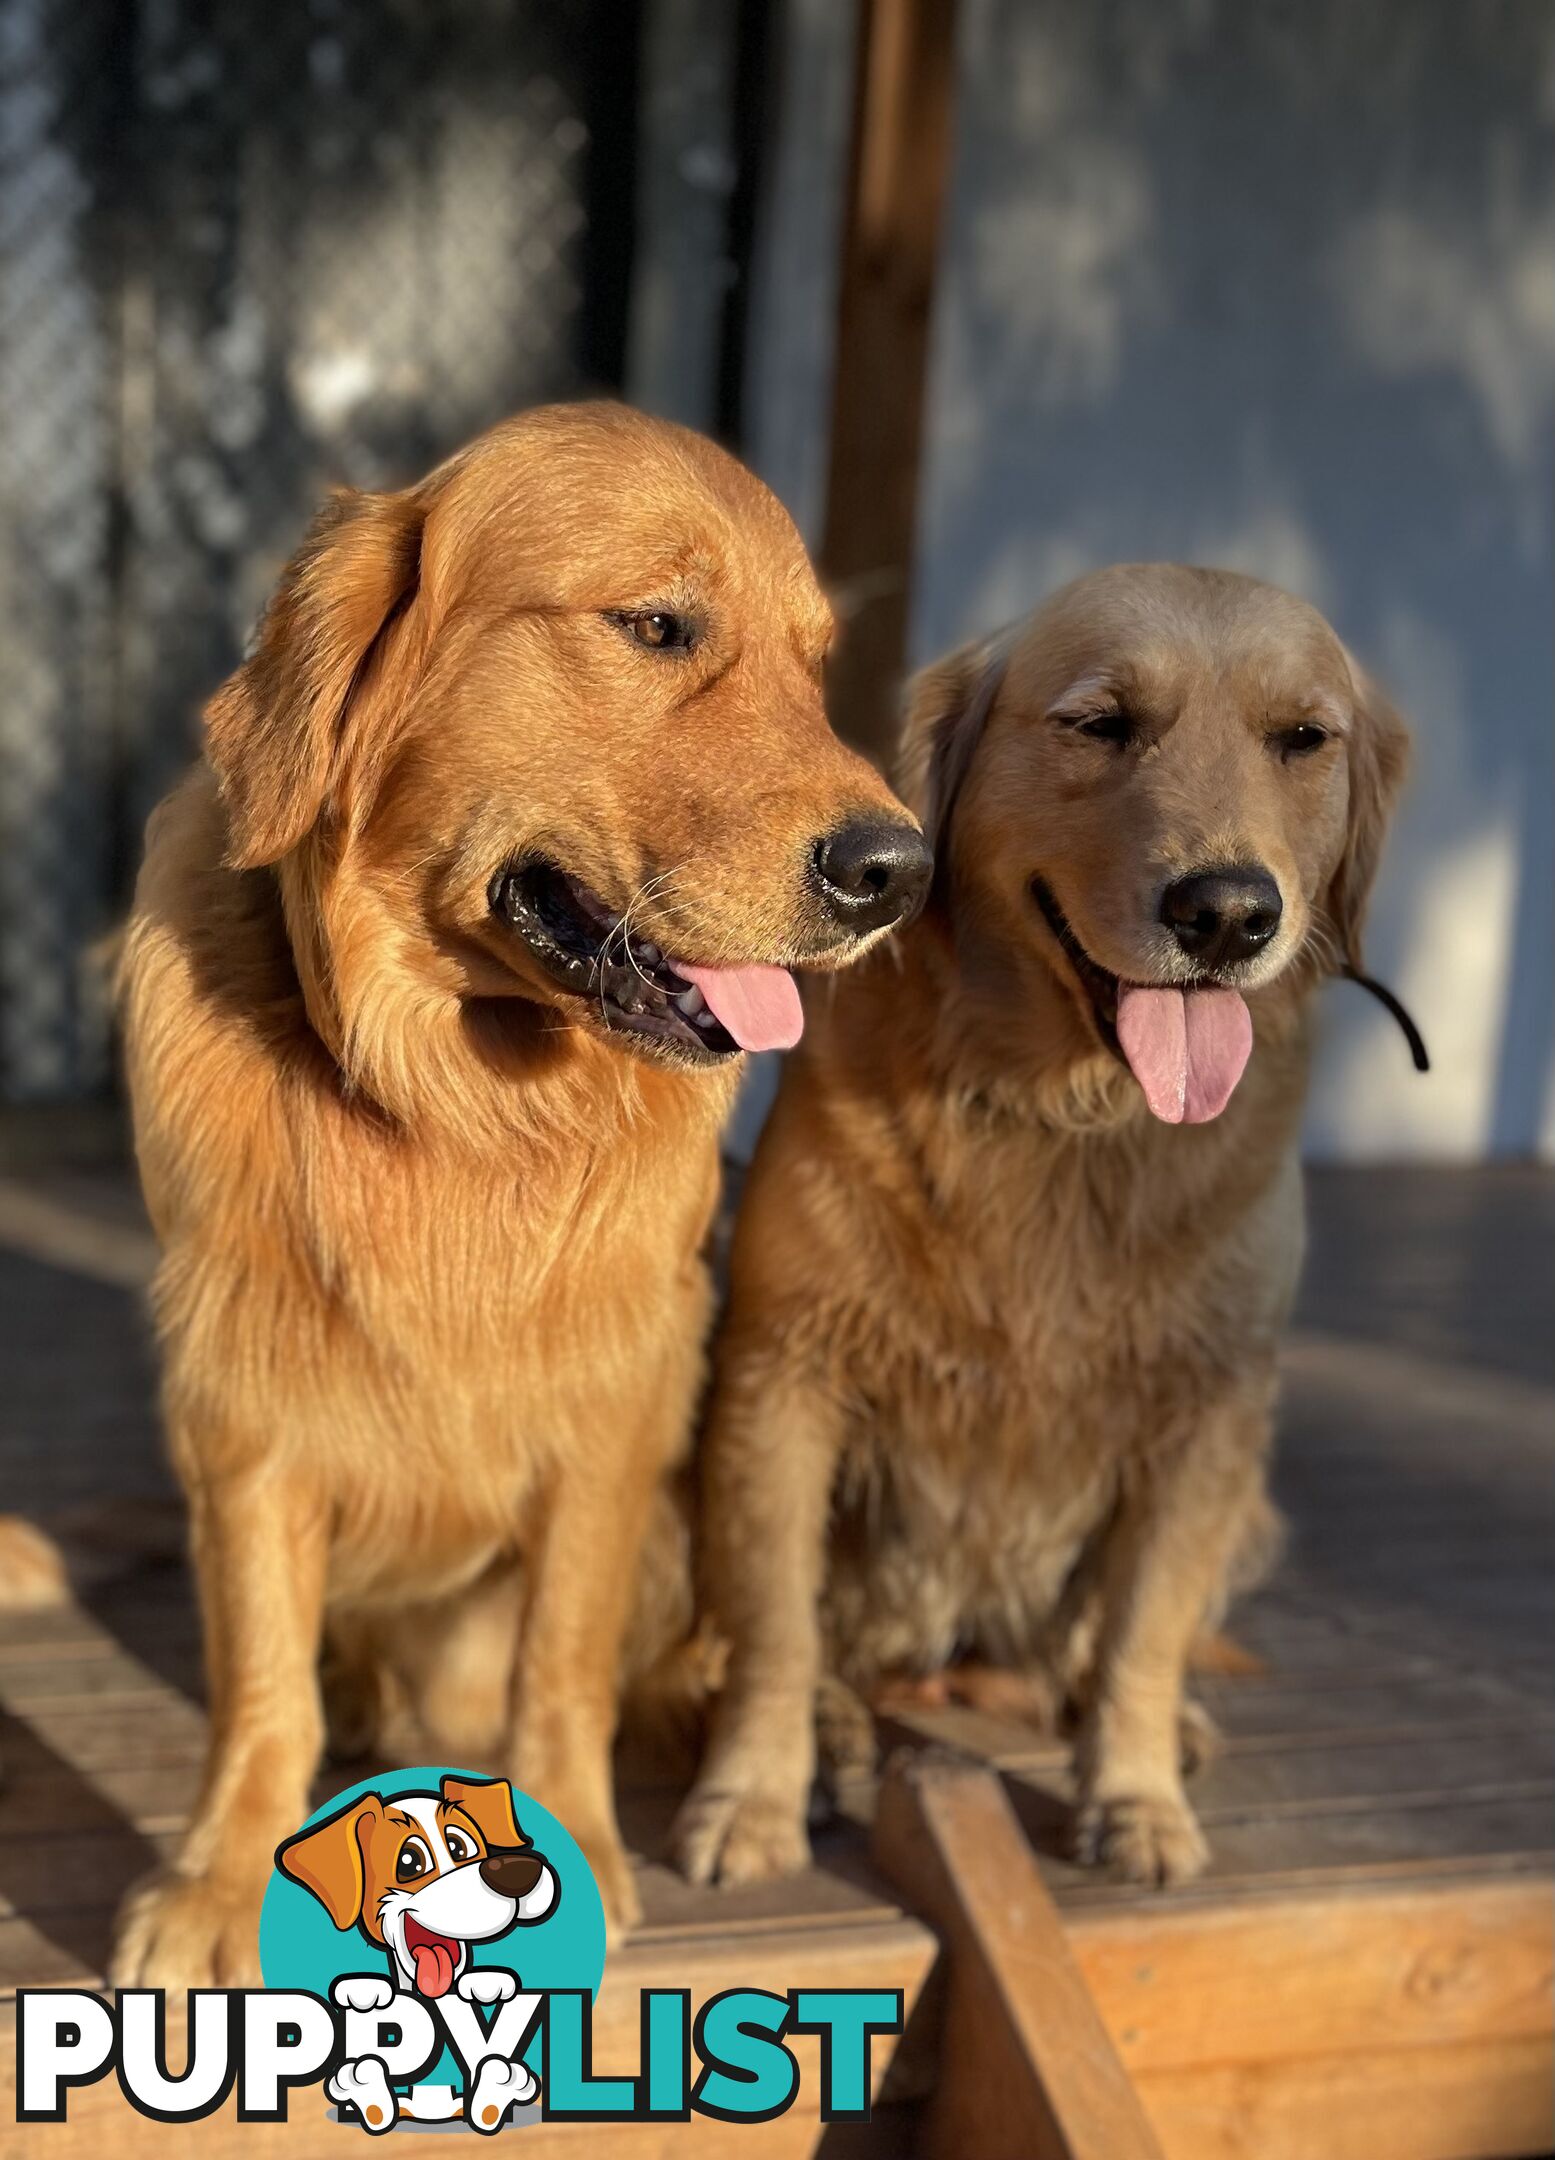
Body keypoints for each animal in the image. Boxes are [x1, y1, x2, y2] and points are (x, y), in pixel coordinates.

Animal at [115, 397, 928, 1978]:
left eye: (813, 669)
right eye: (657, 626)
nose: (899, 870)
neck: (458, 1110)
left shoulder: (616, 1401)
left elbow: (564, 1655)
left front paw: (577, 1847)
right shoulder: (240, 1398)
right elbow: (261, 1678)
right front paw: (220, 1879)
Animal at [678, 565, 1408, 1883]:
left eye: (1302, 740)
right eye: (1099, 723)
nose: (1228, 913)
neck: (1062, 1116)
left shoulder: (1207, 1414)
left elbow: (1139, 1634)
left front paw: (1134, 1797)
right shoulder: (782, 1375)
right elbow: (772, 1629)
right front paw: (750, 1797)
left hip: (1248, 1501)